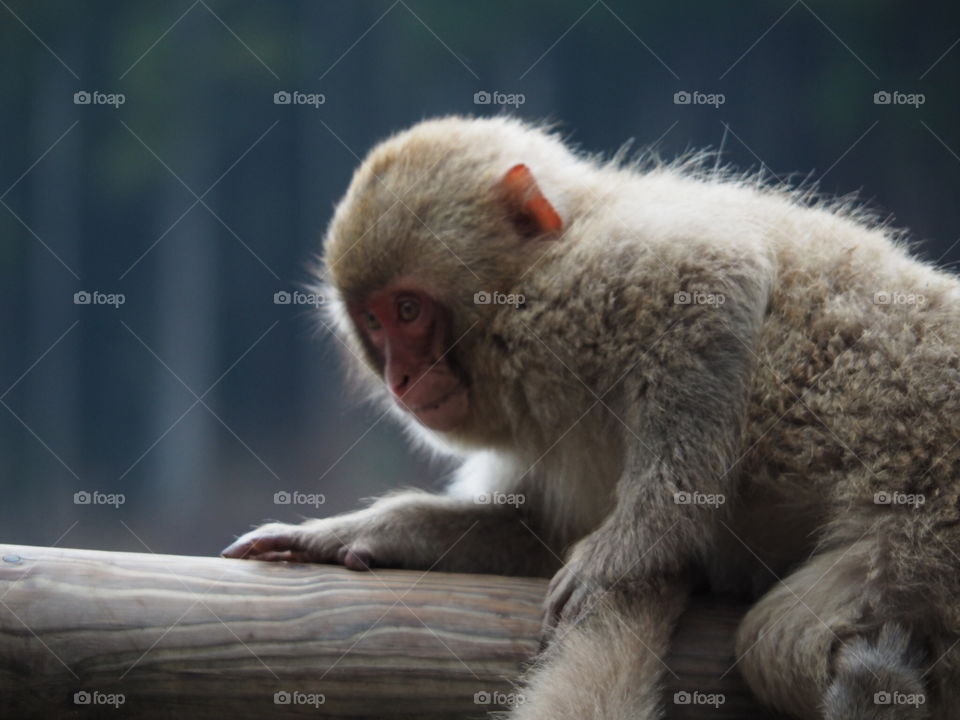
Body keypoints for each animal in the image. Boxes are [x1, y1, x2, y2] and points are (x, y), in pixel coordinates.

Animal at [221, 115, 956, 716]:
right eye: (374, 321)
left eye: (408, 310)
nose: (402, 377)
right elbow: (543, 527)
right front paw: (362, 533)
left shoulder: (580, 287)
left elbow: (710, 283)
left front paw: (633, 548)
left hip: (929, 517)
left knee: (776, 637)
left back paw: (872, 692)